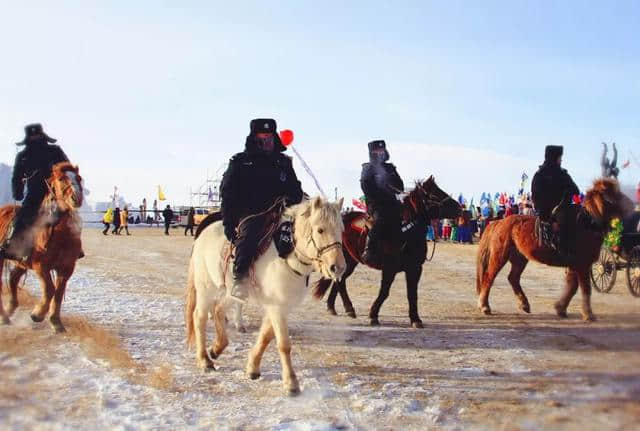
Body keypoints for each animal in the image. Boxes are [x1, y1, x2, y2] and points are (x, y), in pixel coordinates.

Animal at [0, 162, 84, 334]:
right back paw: (5, 316)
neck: (60, 234)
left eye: (78, 178)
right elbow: (50, 289)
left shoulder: (66, 268)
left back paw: (10, 309)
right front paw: (37, 315)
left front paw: (56, 322)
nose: (76, 198)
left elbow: (58, 292)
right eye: (61, 179)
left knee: (13, 278)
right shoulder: (41, 266)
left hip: (21, 262)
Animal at [185, 197, 344, 396]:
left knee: (218, 309)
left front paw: (252, 368)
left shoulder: (279, 306)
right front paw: (291, 383)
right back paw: (205, 360)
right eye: (320, 229)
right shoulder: (277, 306)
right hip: (205, 287)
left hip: (230, 292)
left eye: (341, 230)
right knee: (199, 317)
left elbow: (266, 337)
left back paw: (216, 349)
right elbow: (283, 344)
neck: (286, 255)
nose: (338, 268)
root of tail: (202, 235)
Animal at [312, 177, 458, 330]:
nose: (459, 208)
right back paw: (348, 308)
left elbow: (412, 294)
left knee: (339, 280)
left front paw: (415, 319)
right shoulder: (389, 269)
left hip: (350, 262)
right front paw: (373, 315)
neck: (404, 231)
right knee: (340, 282)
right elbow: (384, 292)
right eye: (435, 194)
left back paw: (333, 307)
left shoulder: (415, 269)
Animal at [478, 177, 632, 322]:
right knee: (489, 277)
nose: (631, 204)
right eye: (613, 195)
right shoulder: (582, 265)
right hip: (500, 256)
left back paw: (524, 304)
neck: (586, 223)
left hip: (519, 258)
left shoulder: (575, 265)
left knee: (513, 278)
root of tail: (499, 222)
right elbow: (585, 289)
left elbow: (572, 287)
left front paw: (561, 308)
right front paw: (588, 314)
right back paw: (485, 306)